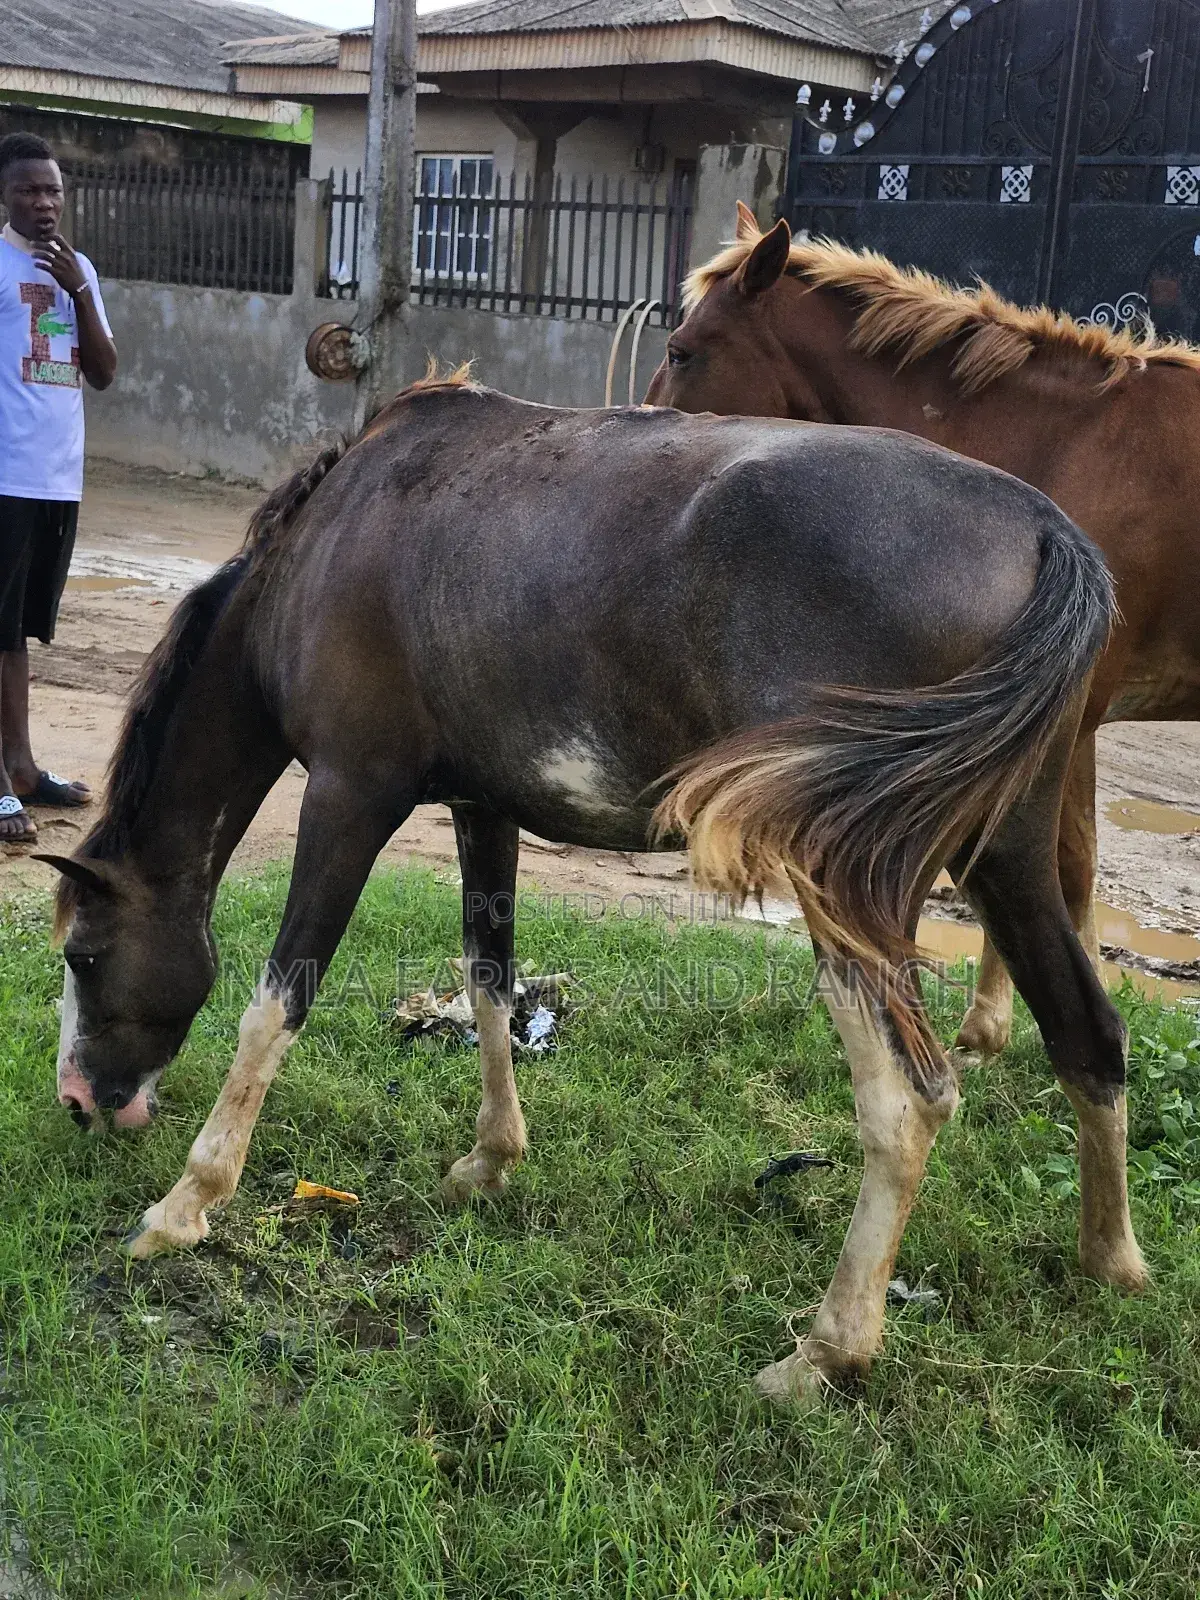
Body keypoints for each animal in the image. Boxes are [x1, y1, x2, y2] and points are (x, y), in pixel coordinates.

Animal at [40, 374, 1132, 1406]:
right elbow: (487, 978)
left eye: (83, 955)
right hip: (1007, 860)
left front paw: (185, 1204)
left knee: (908, 1104)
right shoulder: (482, 807)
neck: (331, 541)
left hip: (853, 892)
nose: (80, 1100)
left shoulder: (349, 797)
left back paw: (826, 1353)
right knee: (1087, 1034)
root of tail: (1042, 529)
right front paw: (490, 1159)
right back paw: (1111, 1263)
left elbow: (276, 1004)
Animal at [646, 204, 1200, 1063]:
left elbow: (1061, 866)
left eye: (682, 350)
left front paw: (993, 1025)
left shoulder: (1073, 716)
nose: (646, 429)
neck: (1068, 441)